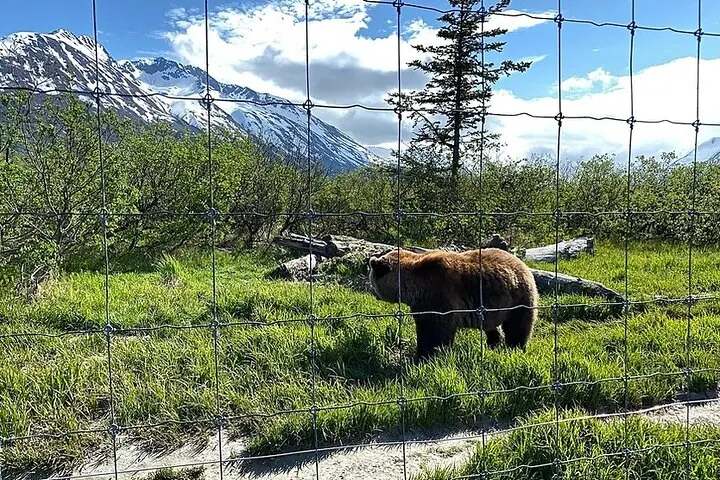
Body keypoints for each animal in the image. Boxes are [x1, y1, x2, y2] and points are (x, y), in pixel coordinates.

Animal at [368, 247, 539, 362]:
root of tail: (523, 265)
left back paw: (515, 348)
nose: (373, 293)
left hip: (518, 298)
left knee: (517, 326)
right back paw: (492, 344)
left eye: (372, 280)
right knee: (491, 327)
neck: (412, 286)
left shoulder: (437, 296)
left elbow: (435, 332)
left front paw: (424, 356)